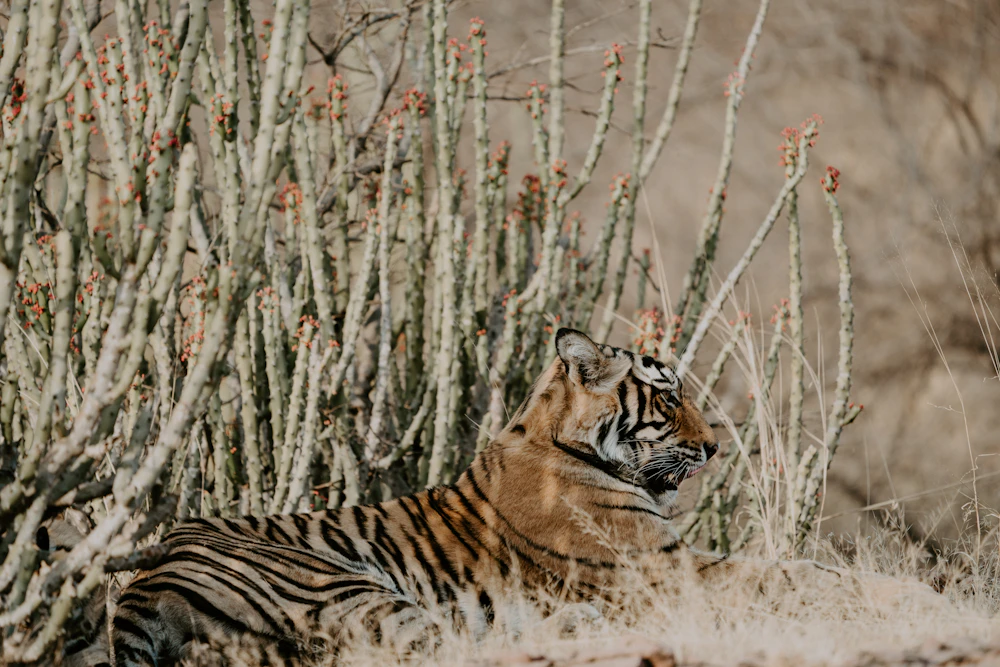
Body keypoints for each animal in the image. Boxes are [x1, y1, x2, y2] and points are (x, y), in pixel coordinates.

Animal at [108, 328, 944, 666]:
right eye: (669, 396)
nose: (715, 446)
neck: (562, 437)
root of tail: (145, 576)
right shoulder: (669, 569)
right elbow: (801, 573)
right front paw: (915, 596)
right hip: (344, 585)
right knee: (446, 645)